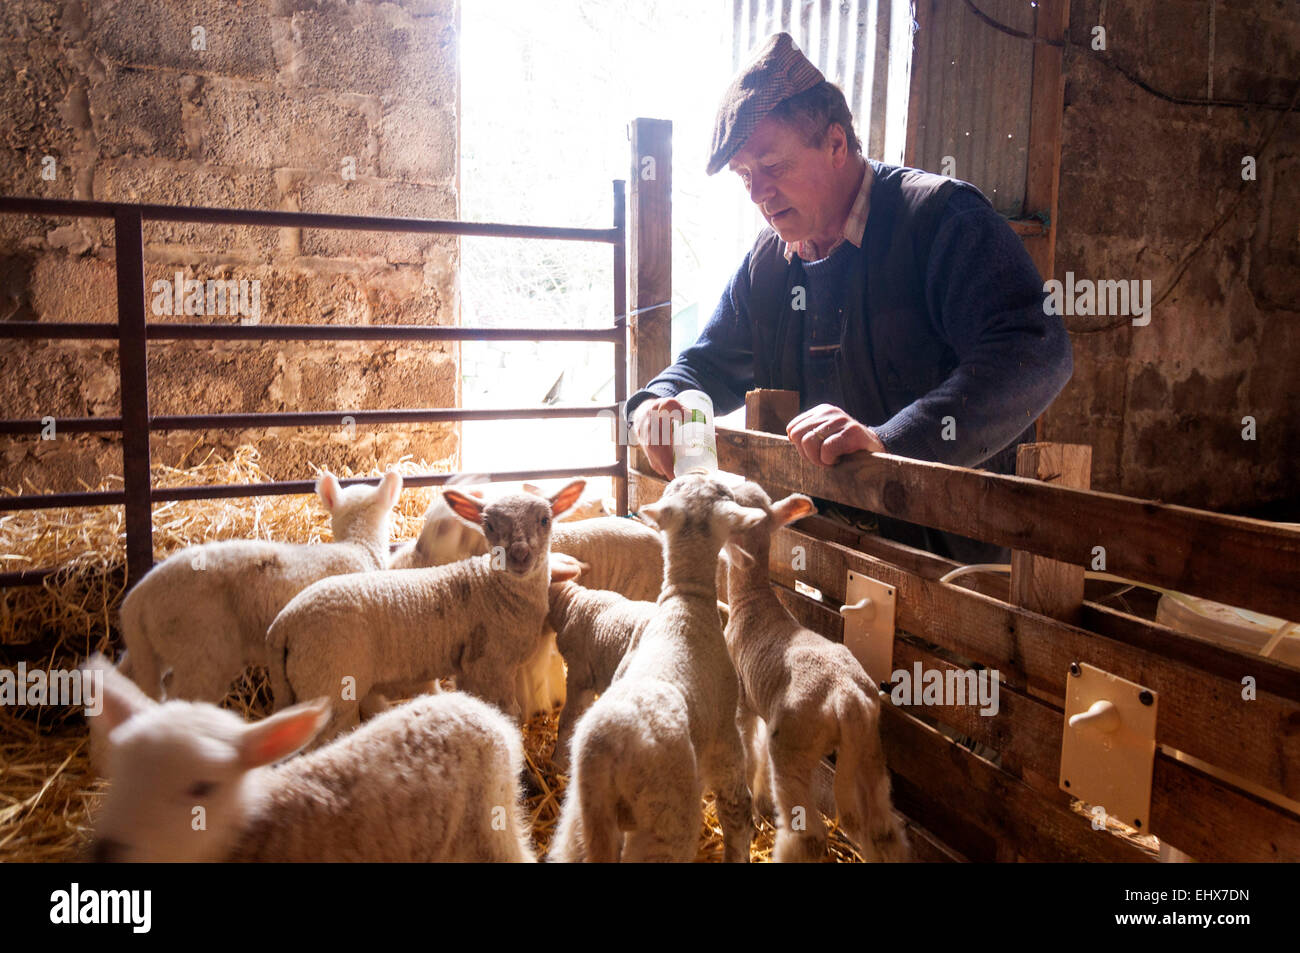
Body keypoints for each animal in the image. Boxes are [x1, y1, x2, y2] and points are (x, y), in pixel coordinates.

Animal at [269, 475, 585, 743]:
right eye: (490, 526)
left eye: (545, 520)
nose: (520, 555)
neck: (492, 590)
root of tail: (283, 624)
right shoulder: (490, 666)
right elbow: (508, 712)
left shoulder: (470, 669)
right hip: (331, 684)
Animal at [548, 470, 759, 863]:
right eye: (724, 492)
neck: (685, 602)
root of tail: (608, 745)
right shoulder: (726, 742)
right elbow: (737, 815)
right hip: (665, 822)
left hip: (583, 818)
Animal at [722, 483, 915, 863]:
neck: (750, 599)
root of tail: (848, 700)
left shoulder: (742, 700)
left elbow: (750, 754)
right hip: (869, 747)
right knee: (883, 830)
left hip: (793, 746)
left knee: (809, 835)